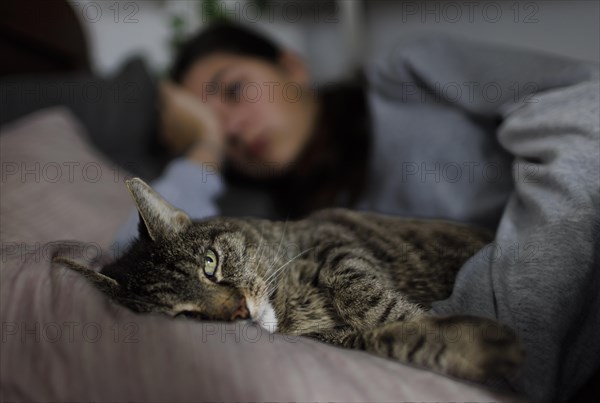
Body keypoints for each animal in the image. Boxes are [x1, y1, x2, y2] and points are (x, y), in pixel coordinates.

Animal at [56, 178, 524, 384]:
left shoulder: (335, 244)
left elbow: (364, 296)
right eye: (184, 316)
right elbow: (384, 339)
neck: (289, 305)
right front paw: (463, 344)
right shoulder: (335, 341)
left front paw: (414, 317)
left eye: (210, 264)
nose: (240, 312)